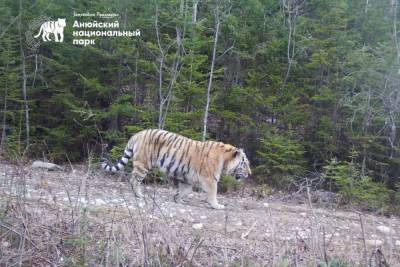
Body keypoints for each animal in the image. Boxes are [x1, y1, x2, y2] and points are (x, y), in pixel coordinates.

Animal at [101, 129, 252, 209]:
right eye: (245, 164)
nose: (249, 174)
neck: (225, 159)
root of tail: (137, 134)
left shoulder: (187, 177)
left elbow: (185, 191)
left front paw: (178, 199)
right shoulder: (210, 179)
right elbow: (212, 193)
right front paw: (217, 205)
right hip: (143, 165)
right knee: (133, 180)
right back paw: (139, 195)